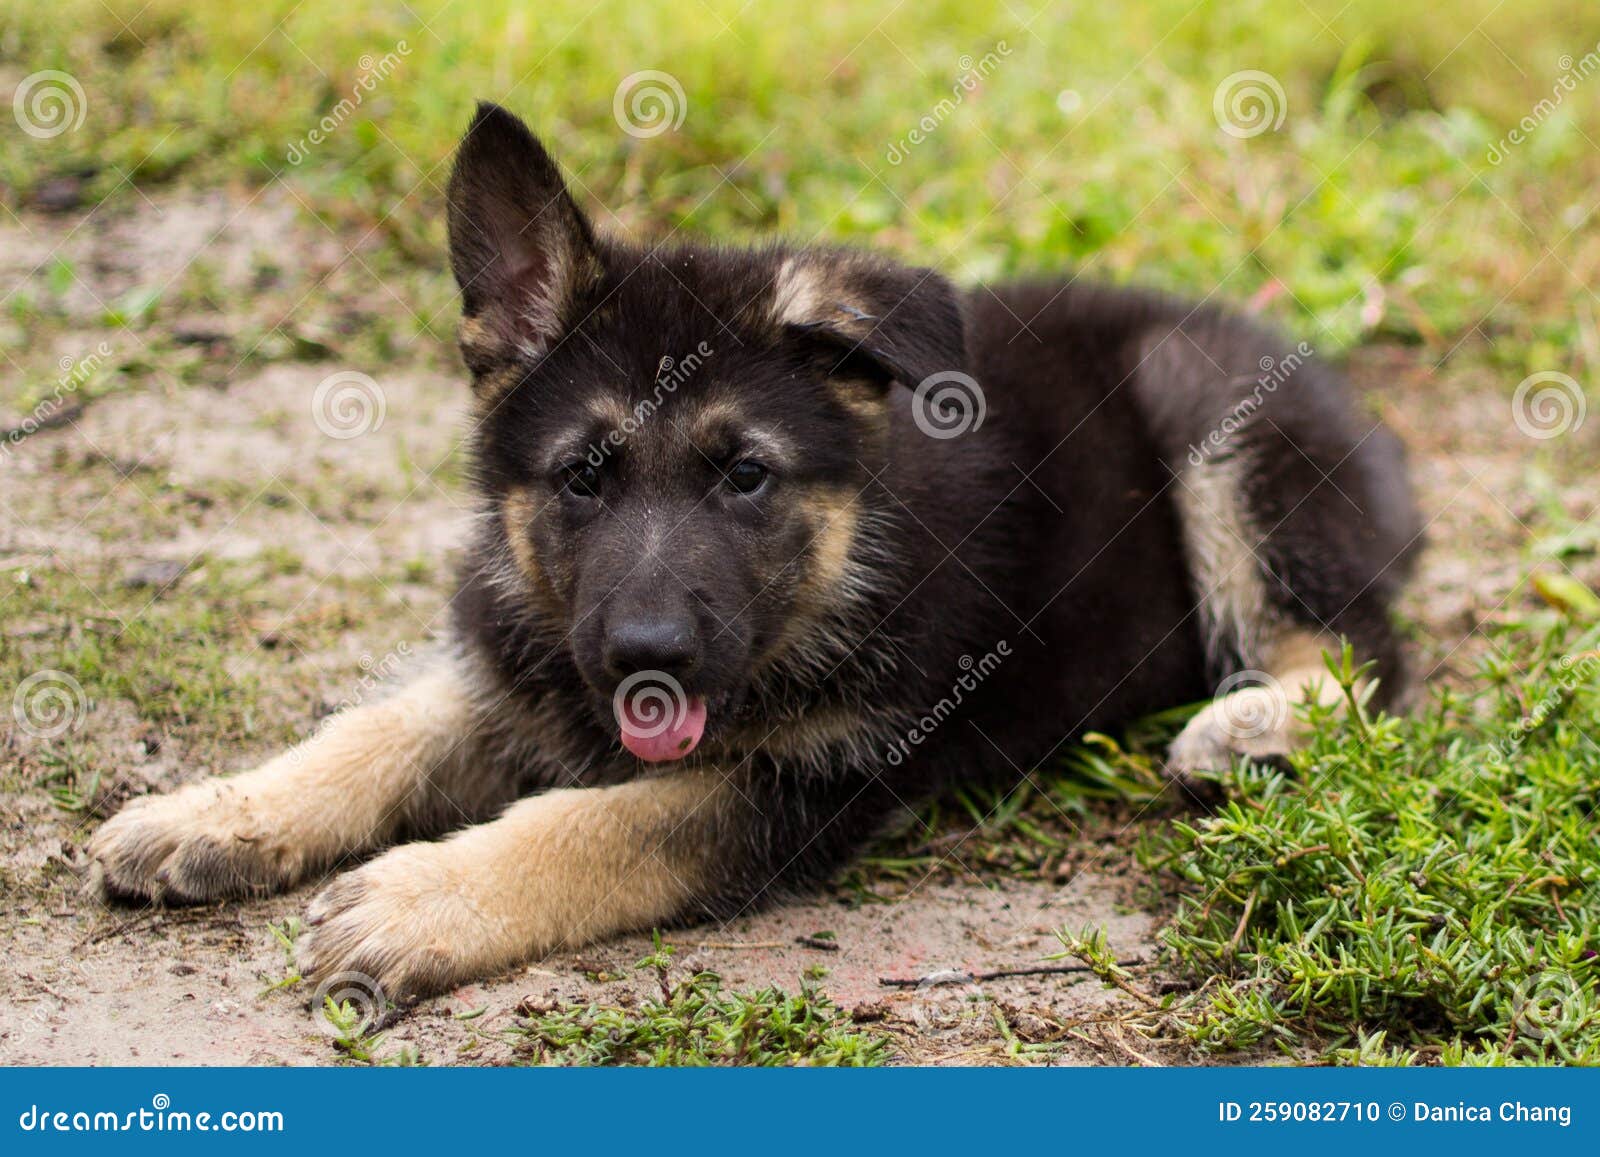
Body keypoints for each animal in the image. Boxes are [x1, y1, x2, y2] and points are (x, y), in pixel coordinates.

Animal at [87, 104, 1420, 998]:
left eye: (745, 476)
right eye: (583, 475)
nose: (647, 653)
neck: (843, 558)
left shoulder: (813, 780)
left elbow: (599, 824)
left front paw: (422, 897)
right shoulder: (521, 657)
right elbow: (376, 728)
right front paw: (217, 809)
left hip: (1210, 411)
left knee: (1365, 654)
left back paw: (1250, 726)